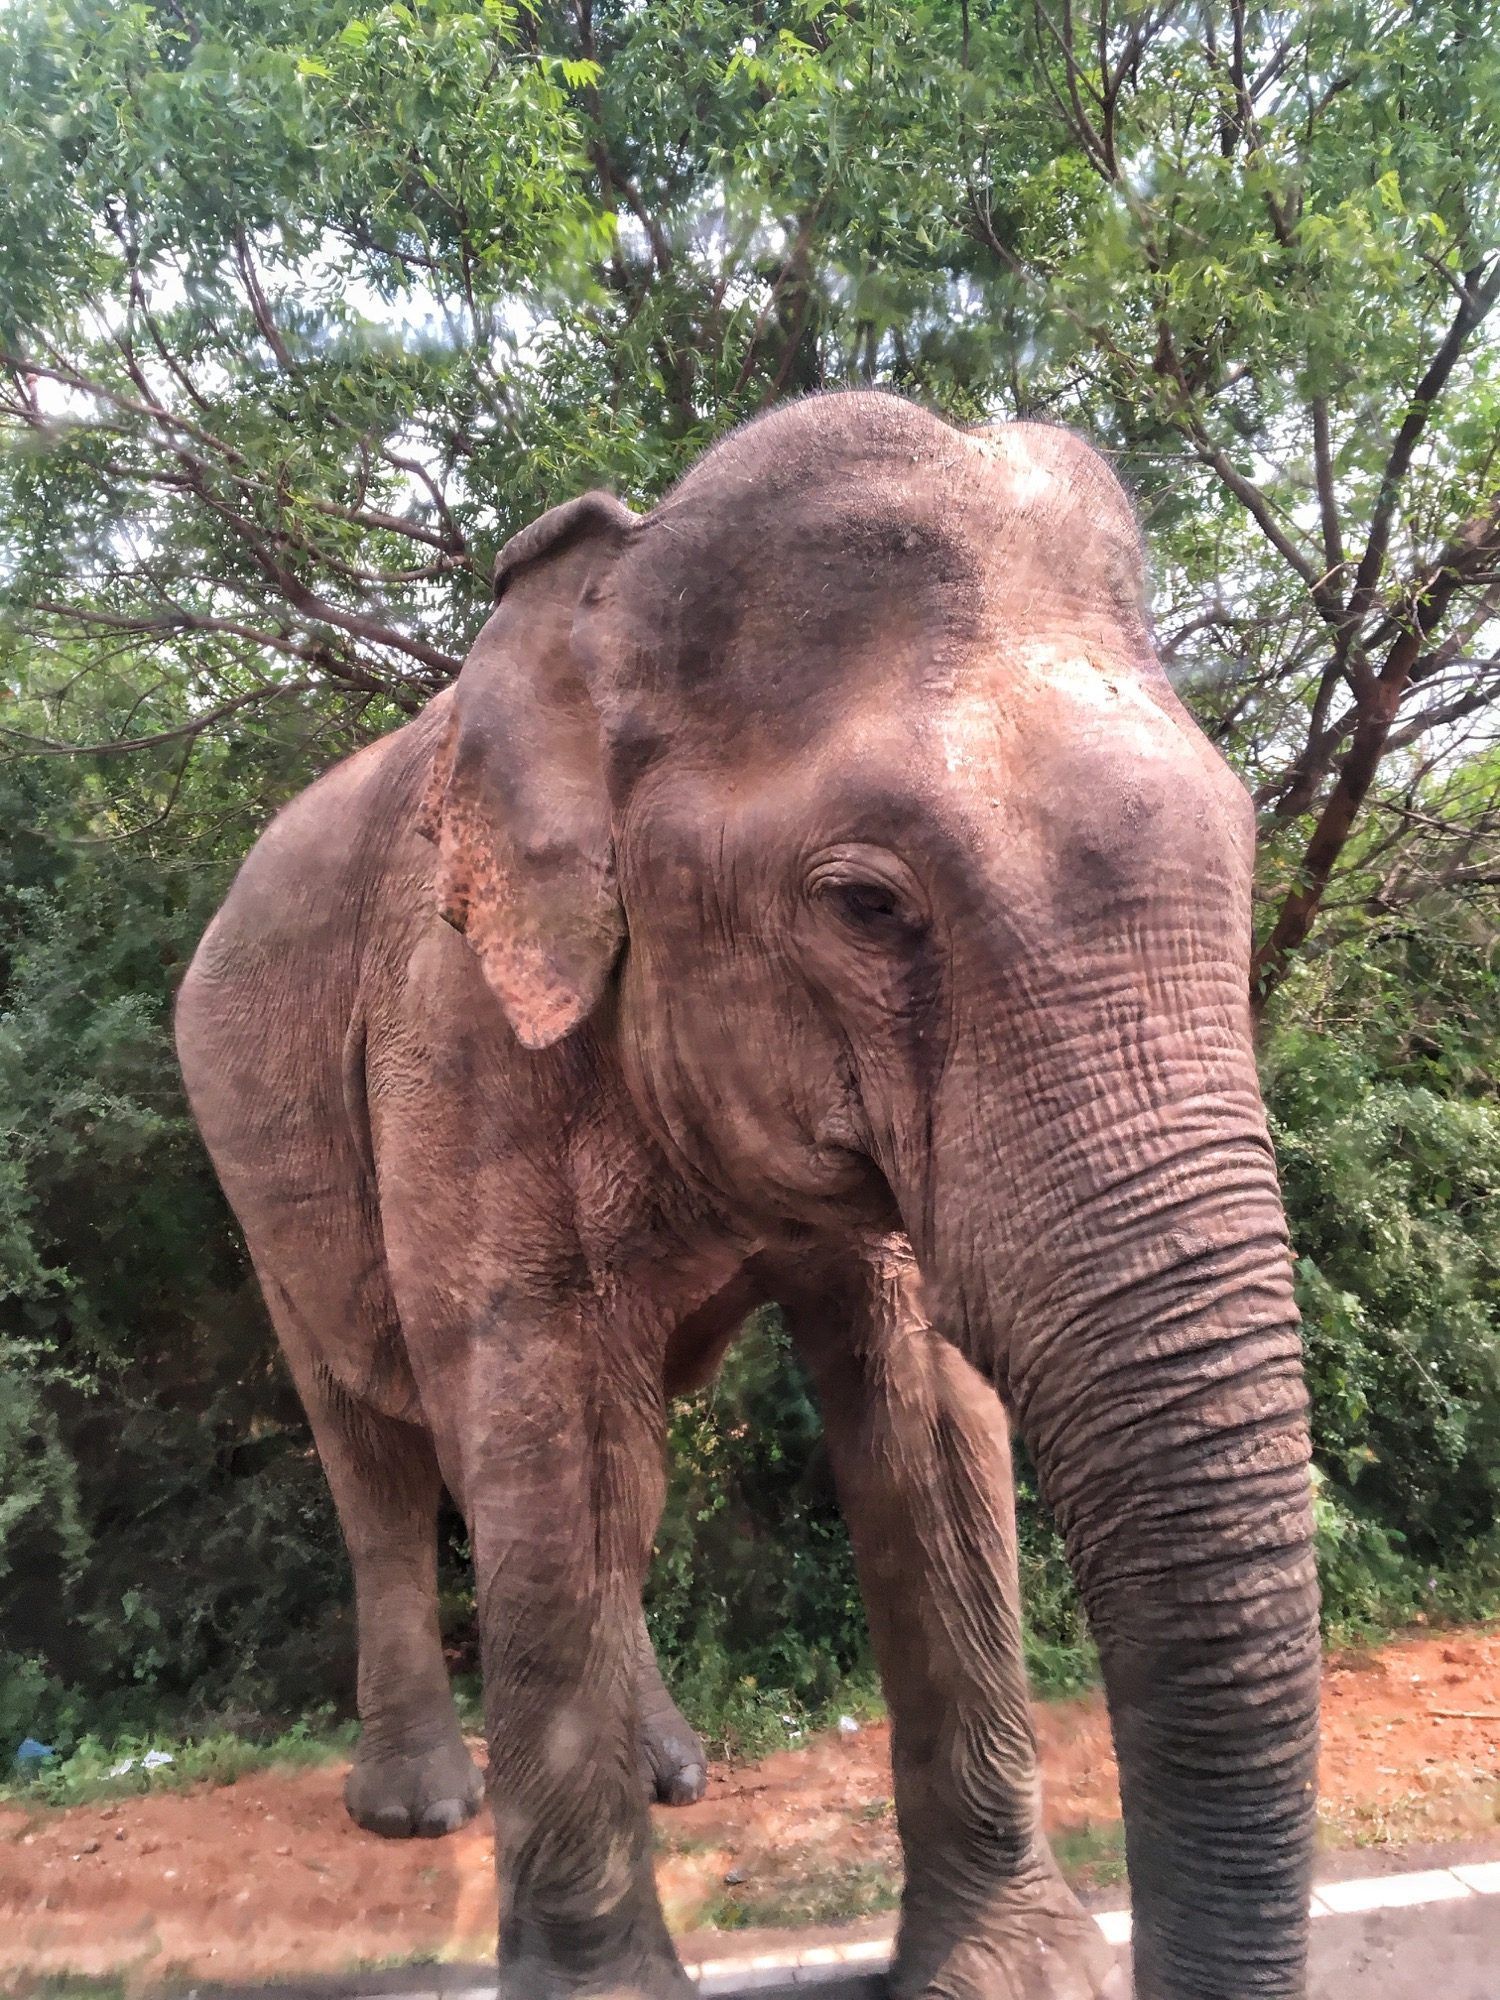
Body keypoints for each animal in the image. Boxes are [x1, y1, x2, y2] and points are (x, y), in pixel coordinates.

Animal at [175, 391, 1320, 2000]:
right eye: (867, 906)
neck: (608, 601)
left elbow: (925, 1415)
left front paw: (1006, 1973)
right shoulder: (457, 1028)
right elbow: (540, 1422)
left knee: (621, 1481)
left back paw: (671, 1770)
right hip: (248, 1147)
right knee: (385, 1450)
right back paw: (419, 1808)